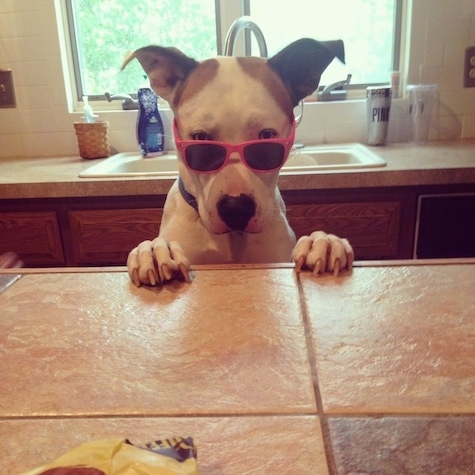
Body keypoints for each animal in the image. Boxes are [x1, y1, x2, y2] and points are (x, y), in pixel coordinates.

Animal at [122, 37, 354, 286]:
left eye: (267, 137)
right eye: (200, 138)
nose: (236, 209)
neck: (233, 240)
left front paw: (322, 241)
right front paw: (155, 250)